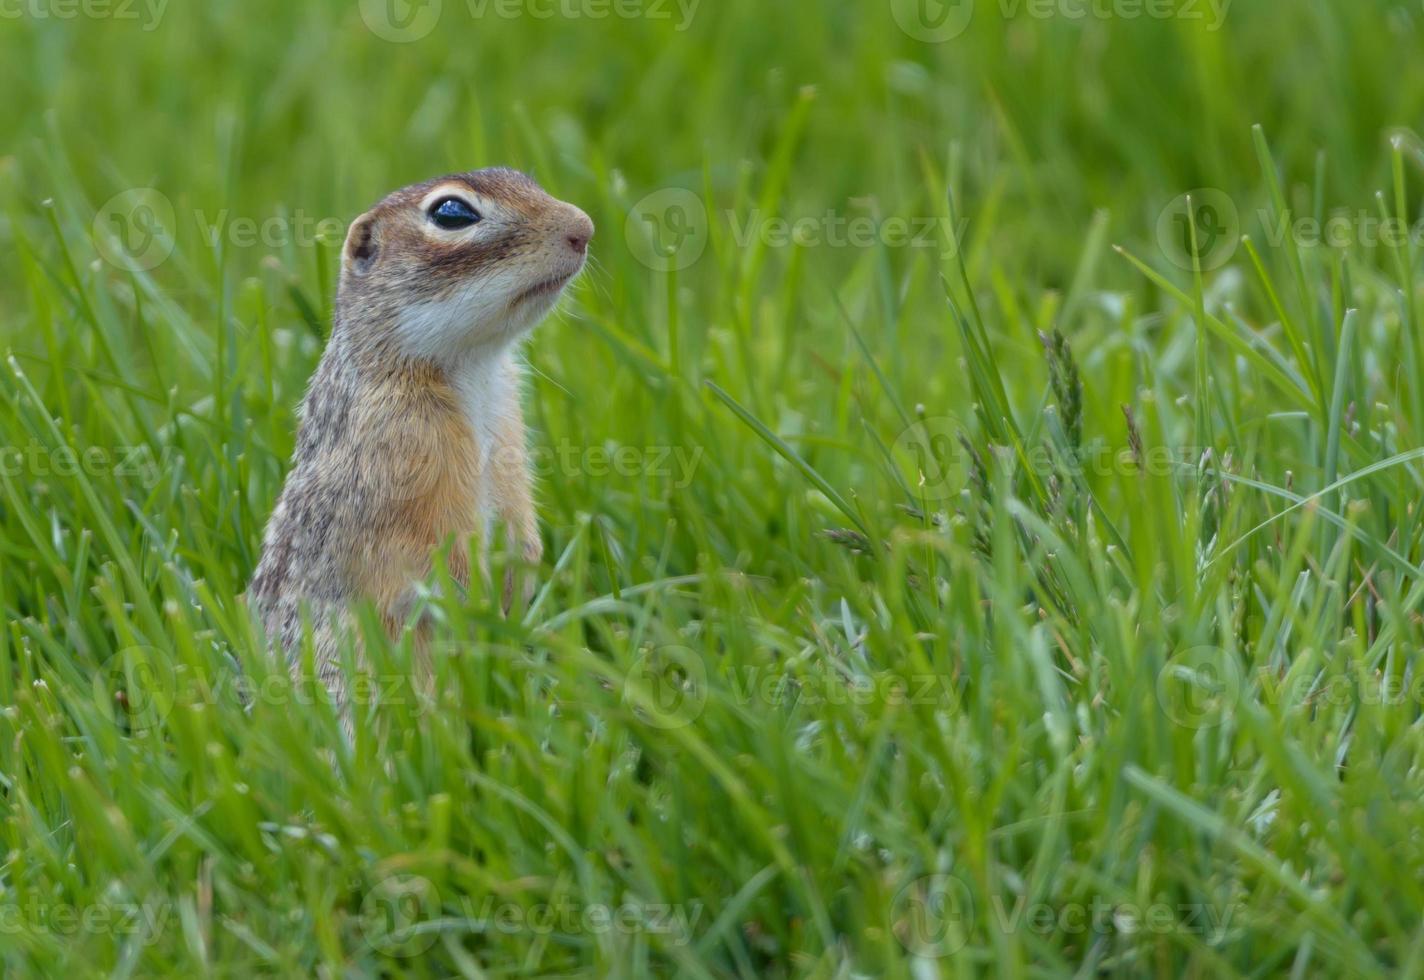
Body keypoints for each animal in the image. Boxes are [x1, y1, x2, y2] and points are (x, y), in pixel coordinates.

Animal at [247, 166, 592, 703]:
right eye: (452, 213)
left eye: (524, 177)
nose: (584, 228)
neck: (473, 367)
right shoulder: (404, 455)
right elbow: (432, 554)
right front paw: (479, 601)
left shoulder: (508, 431)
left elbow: (517, 519)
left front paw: (521, 580)